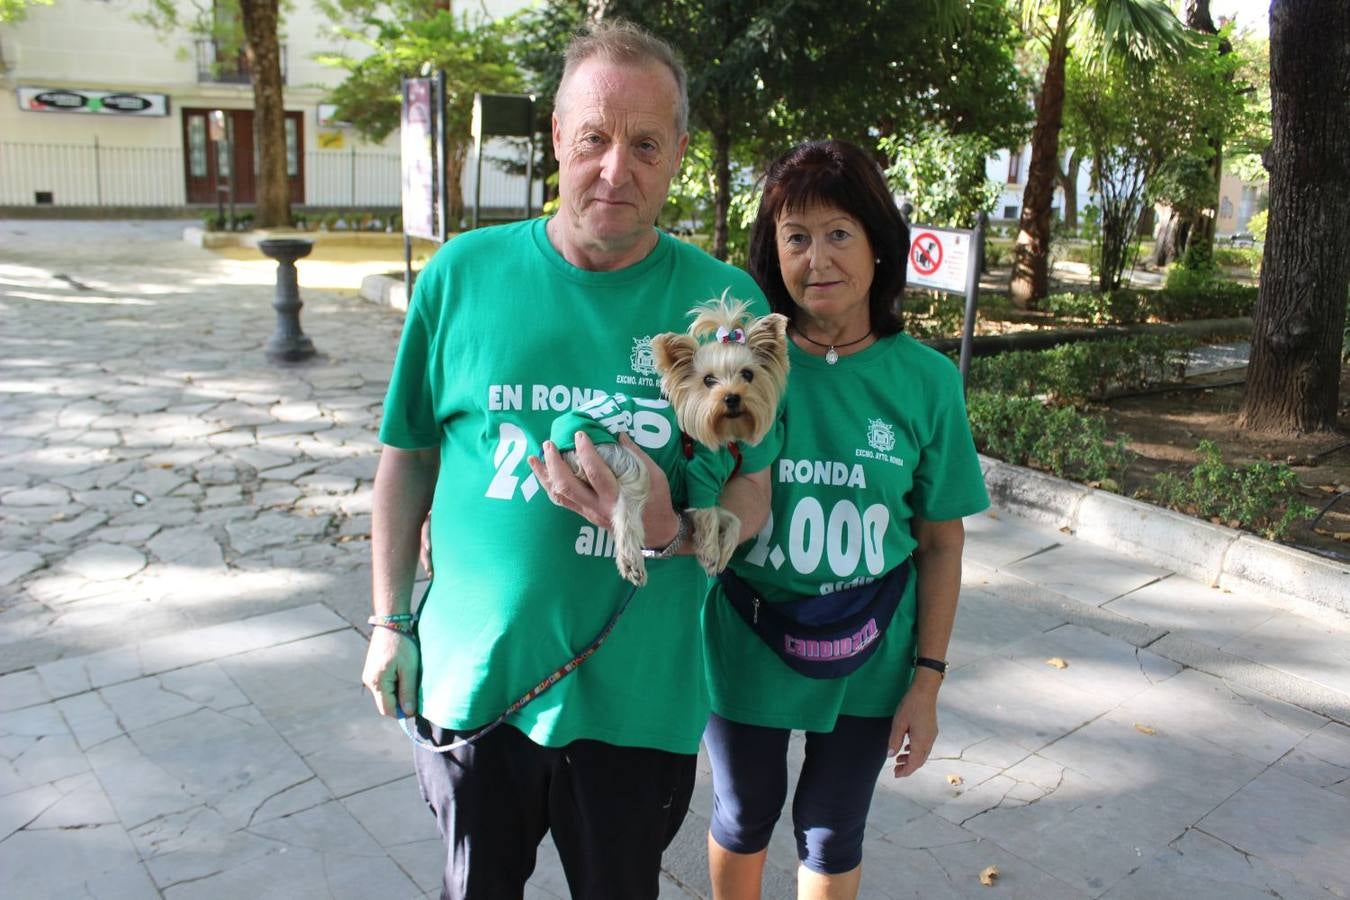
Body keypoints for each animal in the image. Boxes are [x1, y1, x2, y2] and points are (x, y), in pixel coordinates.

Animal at [558, 299, 788, 588]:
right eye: (708, 380)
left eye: (748, 374)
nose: (732, 397)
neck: (725, 437)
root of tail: (561, 431)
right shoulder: (700, 476)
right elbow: (708, 514)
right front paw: (710, 552)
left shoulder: (691, 499)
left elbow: (731, 517)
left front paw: (723, 549)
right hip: (617, 455)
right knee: (627, 506)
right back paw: (632, 561)